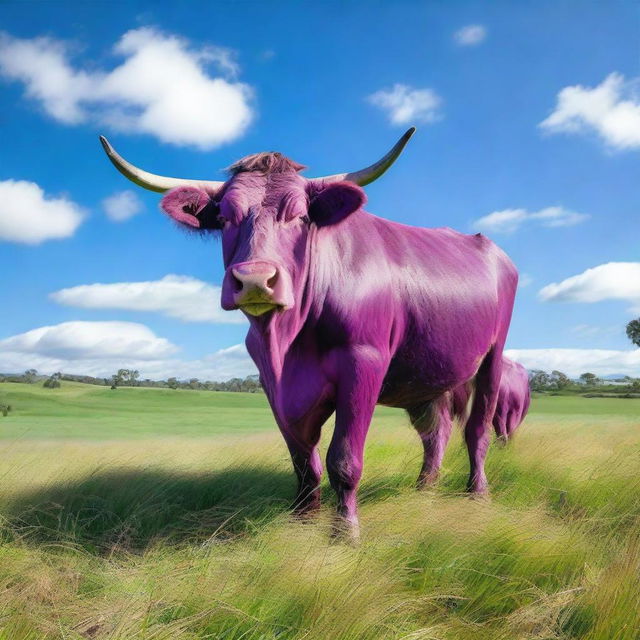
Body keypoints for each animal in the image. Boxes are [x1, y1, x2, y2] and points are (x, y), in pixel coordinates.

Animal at [101, 130, 520, 540]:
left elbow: (344, 458)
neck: (288, 345)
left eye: (300, 215)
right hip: (427, 375)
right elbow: (302, 458)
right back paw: (424, 491)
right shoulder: (273, 383)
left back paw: (477, 493)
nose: (255, 279)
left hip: (492, 358)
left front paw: (344, 532)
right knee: (436, 432)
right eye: (223, 217)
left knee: (477, 430)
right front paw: (301, 520)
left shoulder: (363, 362)